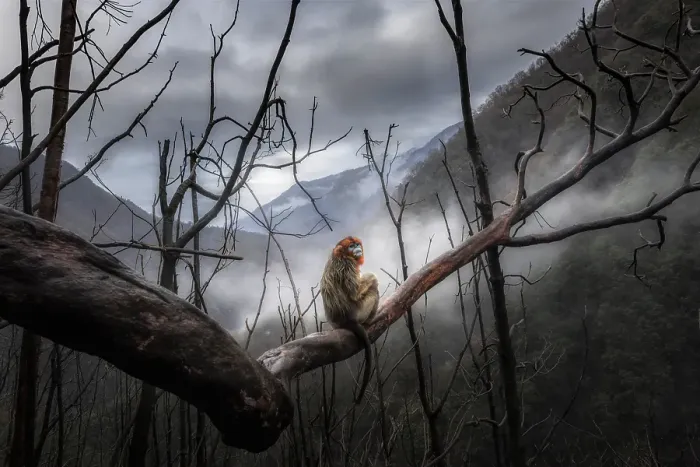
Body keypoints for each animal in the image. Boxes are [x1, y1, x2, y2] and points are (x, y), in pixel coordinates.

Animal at [320, 236, 379, 404]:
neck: (342, 255)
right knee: (373, 288)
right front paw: (372, 276)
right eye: (351, 246)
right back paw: (370, 320)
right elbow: (355, 292)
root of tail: (344, 321)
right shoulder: (347, 265)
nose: (357, 248)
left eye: (357, 244)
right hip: (359, 311)